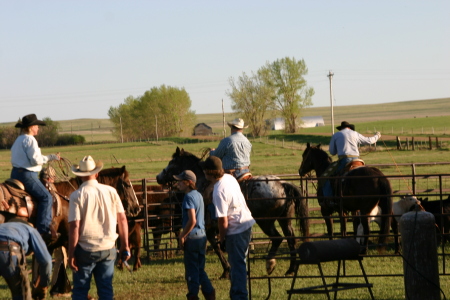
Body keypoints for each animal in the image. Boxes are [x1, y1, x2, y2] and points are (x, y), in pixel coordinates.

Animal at [156, 147, 310, 276]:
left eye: (171, 162)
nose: (158, 177)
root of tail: (282, 184)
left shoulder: (209, 227)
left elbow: (216, 247)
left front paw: (226, 270)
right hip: (284, 220)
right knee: (291, 239)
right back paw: (291, 269)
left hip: (265, 222)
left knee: (277, 238)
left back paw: (270, 264)